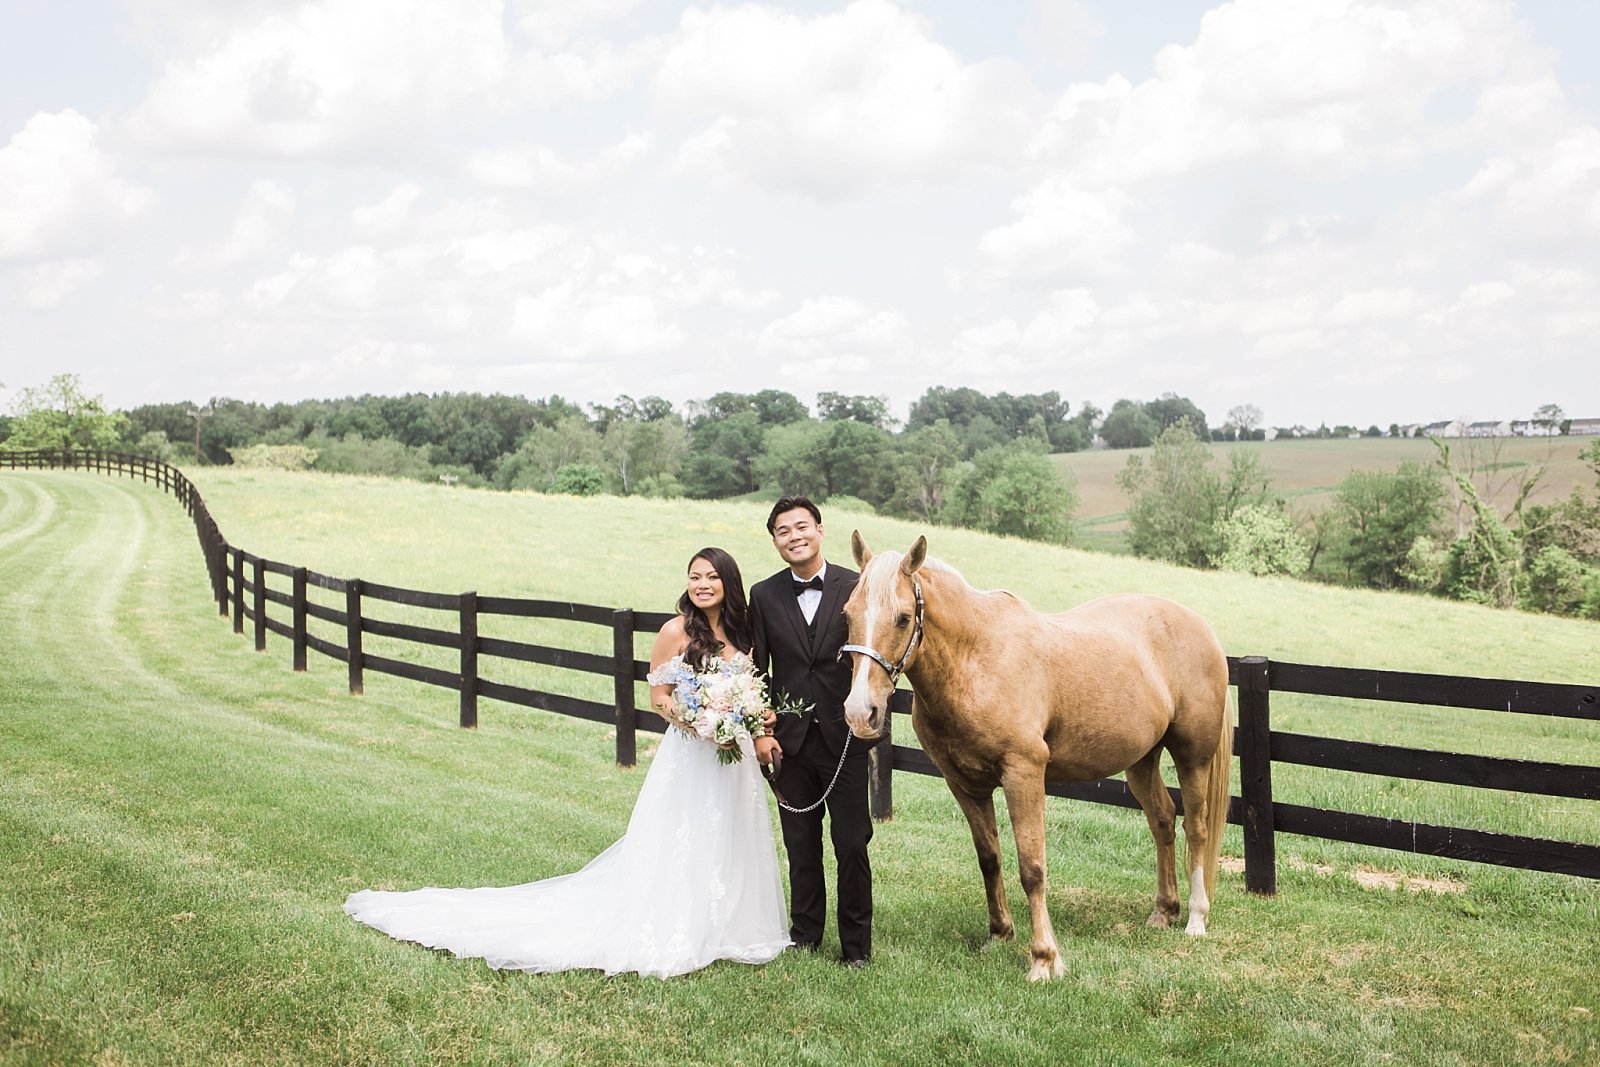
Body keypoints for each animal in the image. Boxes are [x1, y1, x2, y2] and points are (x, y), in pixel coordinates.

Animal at [844, 534, 1228, 985]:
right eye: (847, 613)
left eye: (904, 618)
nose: (860, 712)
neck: (977, 657)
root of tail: (1200, 626)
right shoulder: (965, 785)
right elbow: (989, 859)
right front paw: (999, 935)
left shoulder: (1023, 774)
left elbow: (1032, 868)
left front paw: (1044, 959)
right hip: (1141, 762)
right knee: (1163, 821)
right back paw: (1163, 912)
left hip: (1192, 757)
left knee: (1196, 828)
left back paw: (1196, 919)